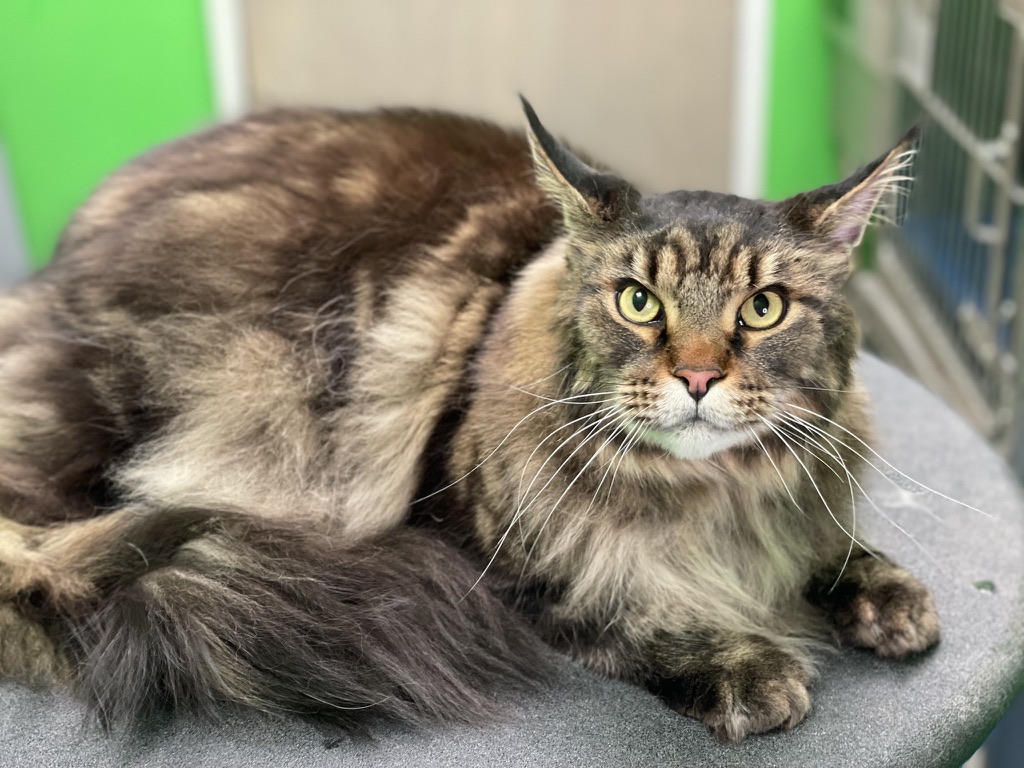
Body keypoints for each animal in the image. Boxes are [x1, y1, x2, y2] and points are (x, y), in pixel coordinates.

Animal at [0, 97, 937, 745]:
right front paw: (747, 667)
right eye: (639, 301)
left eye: (764, 309)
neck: (704, 496)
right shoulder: (487, 550)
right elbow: (623, 611)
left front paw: (884, 595)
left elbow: (829, 546)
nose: (699, 376)